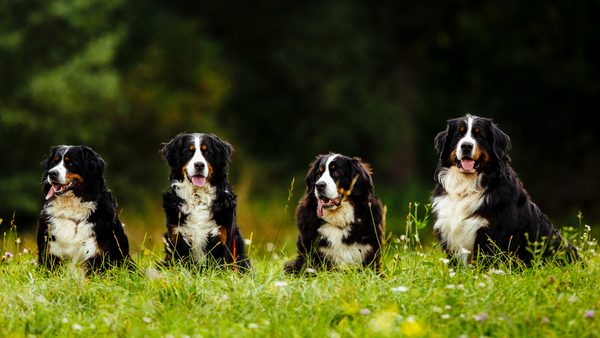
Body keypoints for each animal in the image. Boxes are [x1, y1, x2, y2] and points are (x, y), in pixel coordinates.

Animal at [158, 133, 250, 270]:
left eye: (207, 152)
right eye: (188, 152)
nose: (199, 165)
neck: (198, 198)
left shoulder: (221, 239)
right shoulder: (177, 239)